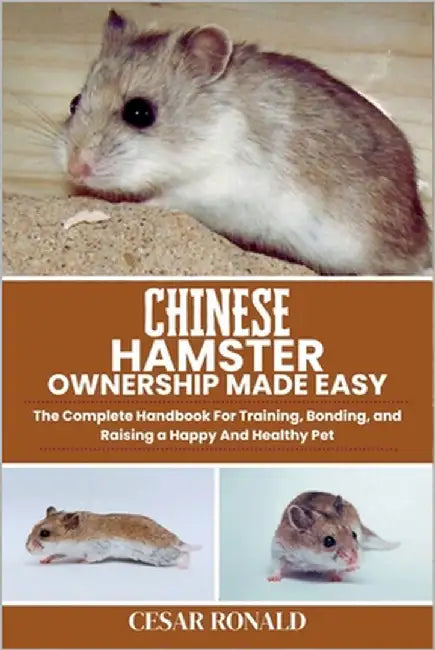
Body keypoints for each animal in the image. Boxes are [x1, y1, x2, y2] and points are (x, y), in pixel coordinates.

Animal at [25, 506, 201, 568]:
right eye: (33, 527)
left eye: (44, 533)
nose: (27, 549)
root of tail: (177, 541)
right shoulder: (64, 550)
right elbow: (55, 554)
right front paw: (44, 560)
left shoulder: (97, 549)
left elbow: (90, 559)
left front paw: (80, 561)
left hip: (161, 554)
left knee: (185, 554)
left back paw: (184, 567)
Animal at [56, 10, 431, 276]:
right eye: (74, 102)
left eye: (140, 112)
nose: (75, 168)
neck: (212, 127)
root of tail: (423, 241)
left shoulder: (213, 189)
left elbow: (163, 200)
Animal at [268, 491, 399, 582]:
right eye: (328, 541)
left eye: (354, 534)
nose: (355, 560)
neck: (312, 559)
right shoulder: (278, 548)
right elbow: (277, 566)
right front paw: (272, 579)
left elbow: (334, 569)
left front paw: (337, 578)